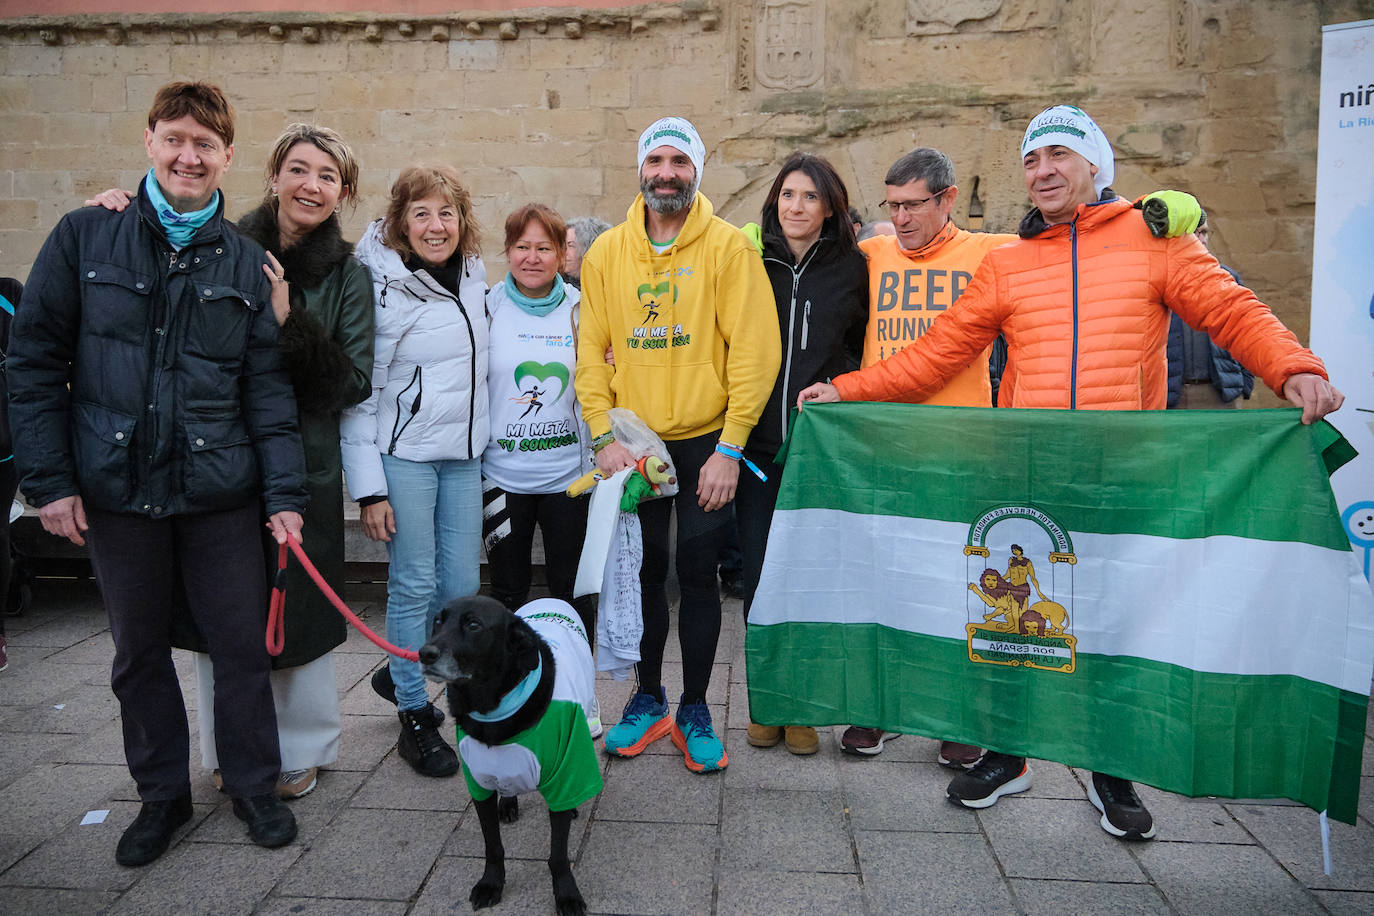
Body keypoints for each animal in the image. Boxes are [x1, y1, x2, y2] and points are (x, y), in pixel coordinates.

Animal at [417, 596, 601, 916]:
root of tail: (551, 599)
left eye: (473, 624)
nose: (424, 653)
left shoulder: (564, 772)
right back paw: (508, 803)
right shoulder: (479, 783)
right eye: (438, 621)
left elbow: (558, 854)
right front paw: (491, 884)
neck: (494, 710)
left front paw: (567, 894)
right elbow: (493, 846)